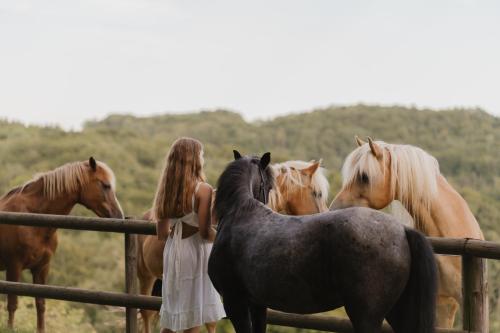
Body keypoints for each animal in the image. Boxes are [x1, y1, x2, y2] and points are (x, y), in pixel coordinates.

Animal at [0, 157, 124, 330]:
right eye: (105, 185)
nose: (119, 215)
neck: (34, 216)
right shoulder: (14, 267)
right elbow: (12, 304)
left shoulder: (42, 268)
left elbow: (41, 304)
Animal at [209, 152, 436, 332]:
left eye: (272, 186)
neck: (240, 214)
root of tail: (402, 230)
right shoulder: (257, 304)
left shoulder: (235, 302)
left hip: (367, 317)